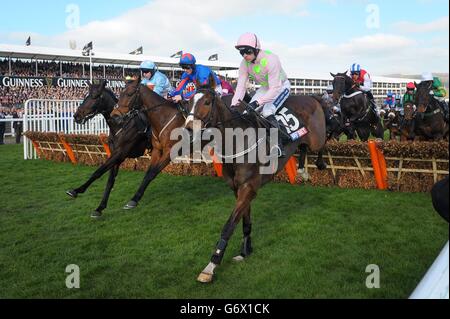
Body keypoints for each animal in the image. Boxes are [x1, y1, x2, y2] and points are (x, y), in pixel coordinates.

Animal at [67, 80, 151, 220]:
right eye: (87, 95)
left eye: (95, 96)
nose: (76, 116)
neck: (120, 123)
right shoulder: (116, 155)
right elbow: (110, 181)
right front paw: (99, 208)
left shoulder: (120, 153)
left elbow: (98, 172)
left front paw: (76, 190)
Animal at [184, 86, 326, 284]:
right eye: (188, 102)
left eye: (206, 102)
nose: (189, 129)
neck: (236, 143)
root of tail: (312, 97)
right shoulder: (239, 189)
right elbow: (245, 221)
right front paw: (245, 251)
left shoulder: (248, 188)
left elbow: (229, 226)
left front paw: (211, 265)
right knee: (304, 146)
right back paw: (301, 171)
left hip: (317, 138)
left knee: (323, 143)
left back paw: (319, 163)